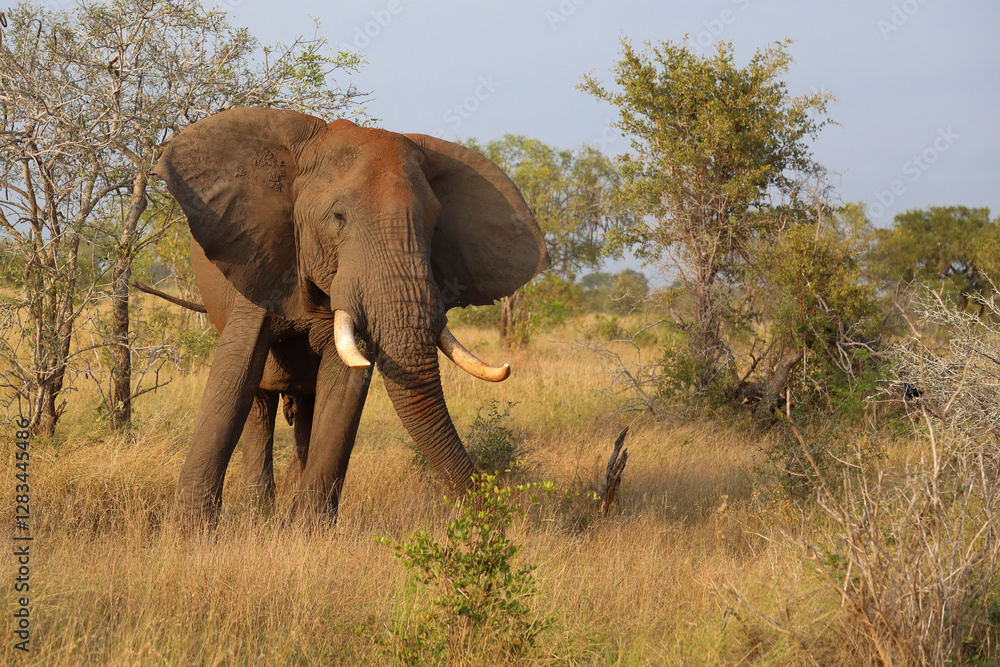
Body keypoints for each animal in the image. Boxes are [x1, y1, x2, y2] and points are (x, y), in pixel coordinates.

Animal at [153, 107, 548, 522]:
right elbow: (235, 373)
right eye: (338, 217)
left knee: (307, 409)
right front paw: (188, 531)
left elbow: (342, 384)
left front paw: (307, 529)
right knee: (259, 403)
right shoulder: (262, 253)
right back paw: (262, 512)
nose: (494, 517)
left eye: (436, 225)